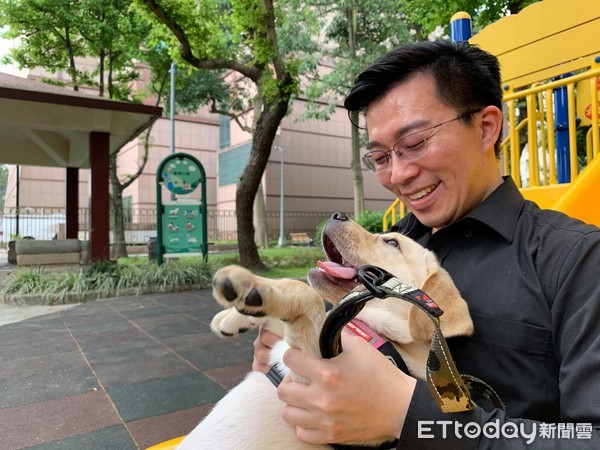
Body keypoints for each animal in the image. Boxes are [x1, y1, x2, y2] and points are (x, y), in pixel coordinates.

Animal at [178, 212, 474, 450]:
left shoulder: (313, 368)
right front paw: (231, 316)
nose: (337, 214)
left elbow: (307, 293)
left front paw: (251, 288)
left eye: (392, 243)